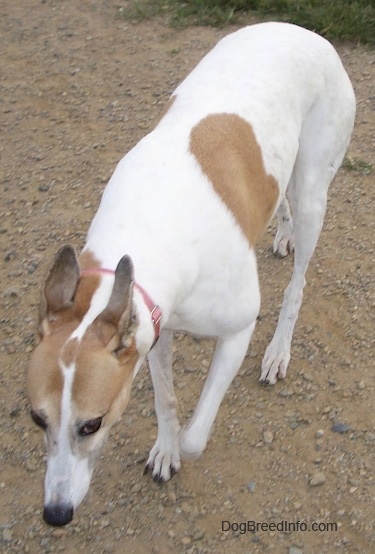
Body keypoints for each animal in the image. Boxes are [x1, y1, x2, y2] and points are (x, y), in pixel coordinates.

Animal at [27, 22, 356, 520]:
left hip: (314, 188)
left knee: (297, 284)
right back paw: (282, 232)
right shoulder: (154, 324)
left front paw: (180, 445)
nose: (56, 513)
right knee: (278, 197)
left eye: (92, 424)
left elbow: (196, 437)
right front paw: (165, 450)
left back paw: (278, 351)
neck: (149, 223)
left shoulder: (237, 329)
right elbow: (165, 400)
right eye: (37, 418)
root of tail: (305, 31)